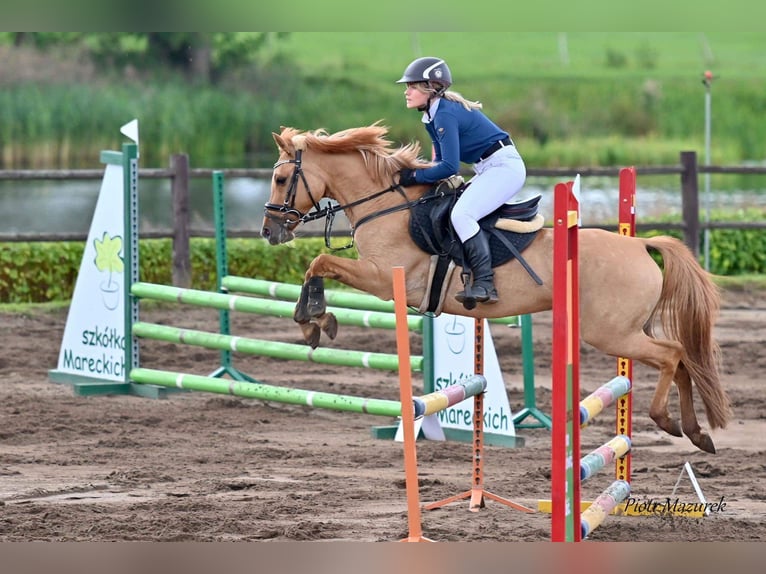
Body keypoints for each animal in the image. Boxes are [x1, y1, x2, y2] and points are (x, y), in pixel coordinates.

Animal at [262, 122, 732, 454]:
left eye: (282, 179)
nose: (269, 230)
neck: (386, 206)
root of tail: (639, 244)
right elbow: (319, 264)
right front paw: (317, 321)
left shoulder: (384, 278)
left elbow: (320, 263)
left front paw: (312, 320)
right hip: (630, 329)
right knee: (684, 360)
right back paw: (696, 432)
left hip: (611, 333)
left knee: (672, 355)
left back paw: (666, 420)